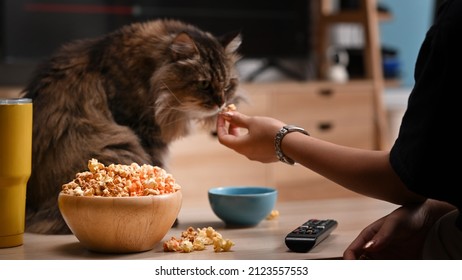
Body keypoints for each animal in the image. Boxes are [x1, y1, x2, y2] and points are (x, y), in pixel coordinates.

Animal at [20, 18, 245, 234]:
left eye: (227, 85)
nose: (221, 103)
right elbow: (158, 166)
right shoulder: (143, 132)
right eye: (204, 84)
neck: (149, 73)